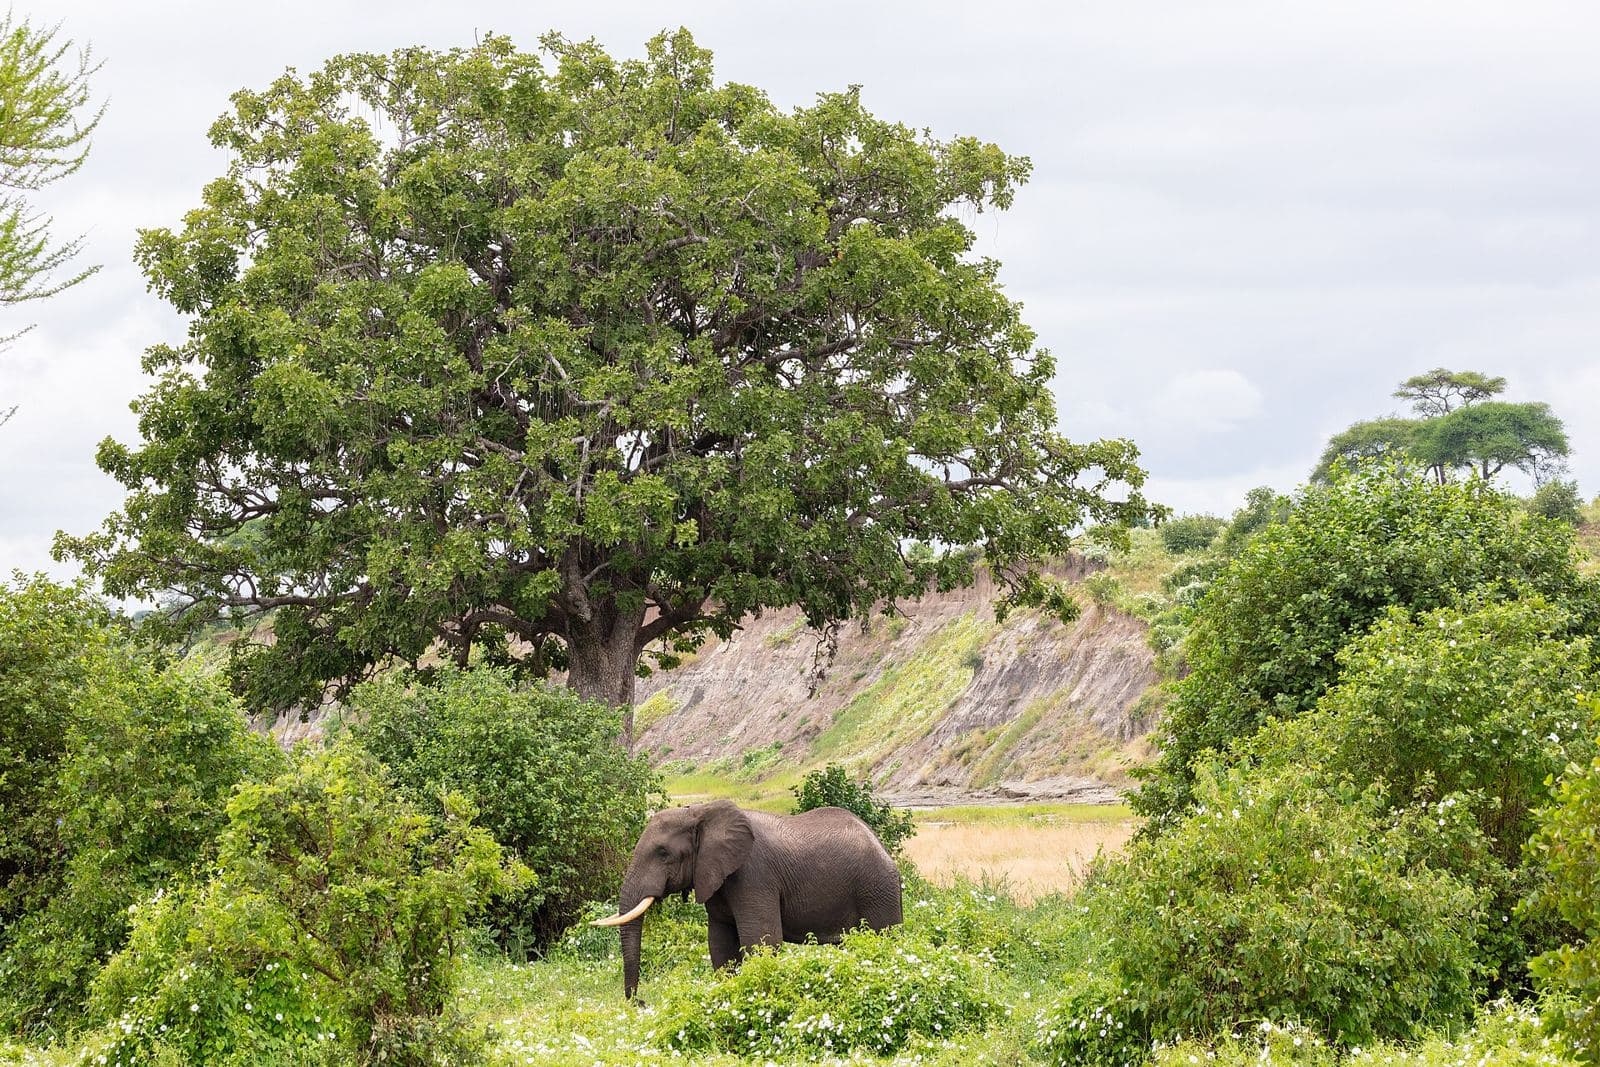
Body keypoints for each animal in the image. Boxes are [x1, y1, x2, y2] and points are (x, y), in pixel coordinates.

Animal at [591, 799, 903, 998]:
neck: (701, 813)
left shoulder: (754, 875)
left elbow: (762, 941)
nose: (640, 1002)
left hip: (878, 890)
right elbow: (720, 944)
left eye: (663, 853)